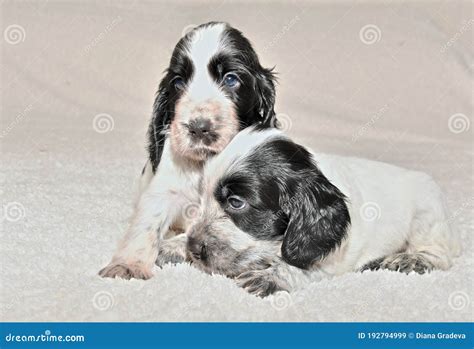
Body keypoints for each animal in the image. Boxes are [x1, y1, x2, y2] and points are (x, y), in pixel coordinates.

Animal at [99, 21, 278, 278]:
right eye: (178, 83)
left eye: (231, 79)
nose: (198, 127)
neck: (205, 163)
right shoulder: (163, 188)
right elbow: (148, 222)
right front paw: (128, 264)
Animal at [187, 126, 462, 294]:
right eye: (201, 197)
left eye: (236, 202)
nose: (193, 248)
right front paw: (177, 244)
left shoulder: (331, 258)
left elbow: (297, 266)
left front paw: (269, 277)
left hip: (426, 214)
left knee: (440, 254)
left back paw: (411, 259)